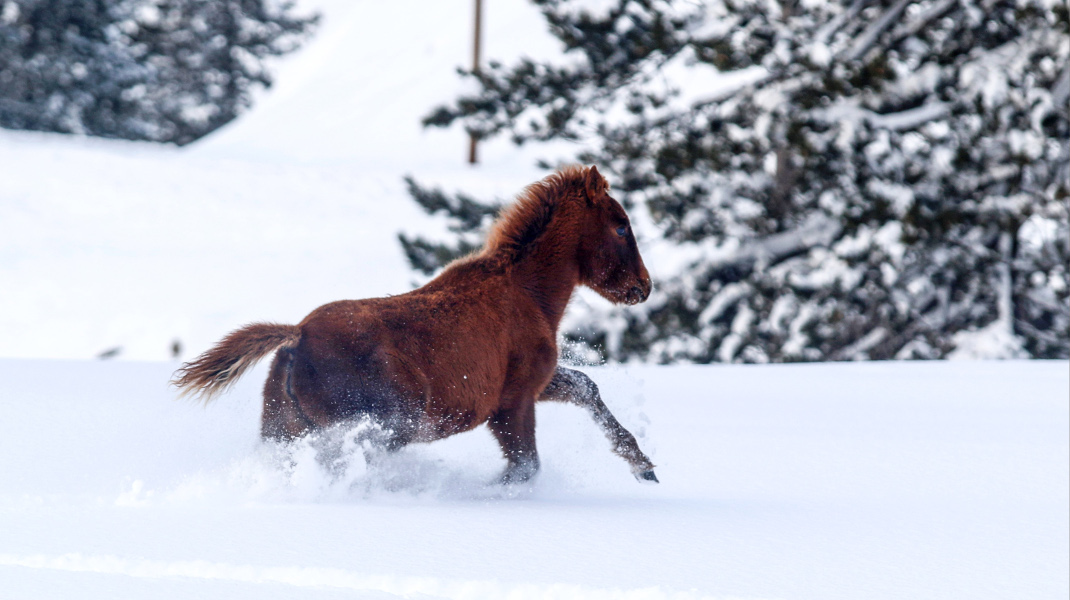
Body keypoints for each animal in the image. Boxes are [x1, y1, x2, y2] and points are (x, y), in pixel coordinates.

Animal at [174, 163, 654, 481]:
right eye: (621, 226)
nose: (643, 287)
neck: (528, 294)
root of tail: (296, 339)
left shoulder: (536, 385)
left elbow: (585, 387)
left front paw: (642, 465)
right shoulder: (512, 402)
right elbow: (525, 467)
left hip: (287, 430)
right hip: (389, 424)